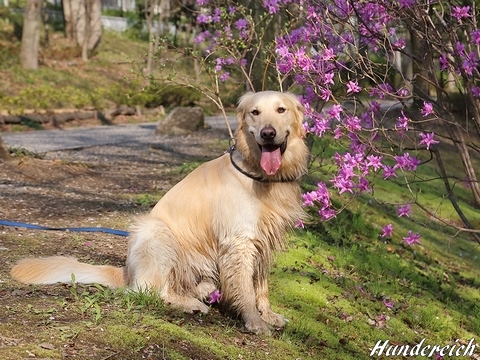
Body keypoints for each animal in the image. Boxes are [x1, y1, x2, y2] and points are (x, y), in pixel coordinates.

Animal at [12, 90, 312, 334]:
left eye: (281, 110)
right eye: (255, 112)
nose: (268, 133)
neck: (260, 176)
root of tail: (127, 271)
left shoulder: (261, 243)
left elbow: (261, 287)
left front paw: (269, 315)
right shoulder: (239, 243)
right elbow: (247, 290)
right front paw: (255, 322)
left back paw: (202, 292)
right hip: (158, 233)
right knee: (149, 290)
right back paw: (191, 304)